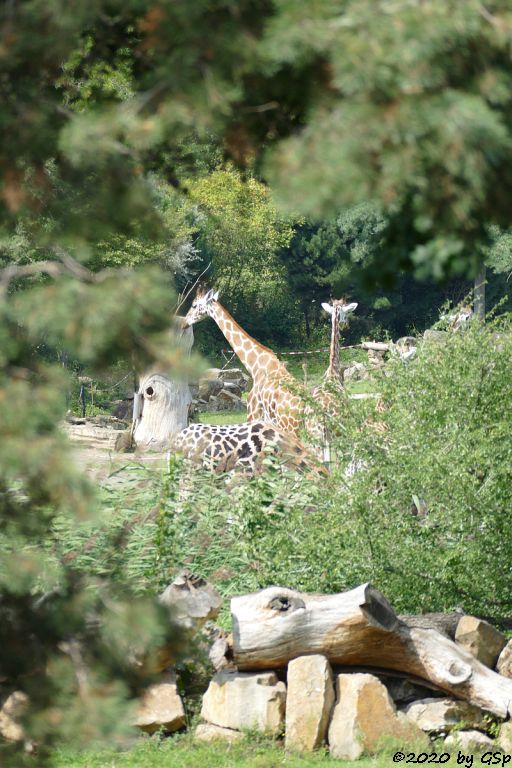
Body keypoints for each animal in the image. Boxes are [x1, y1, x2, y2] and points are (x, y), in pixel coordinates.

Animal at [182, 284, 306, 438]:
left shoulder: (253, 412)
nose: (184, 322)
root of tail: (305, 407)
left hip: (289, 426)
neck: (255, 365)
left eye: (194, 305)